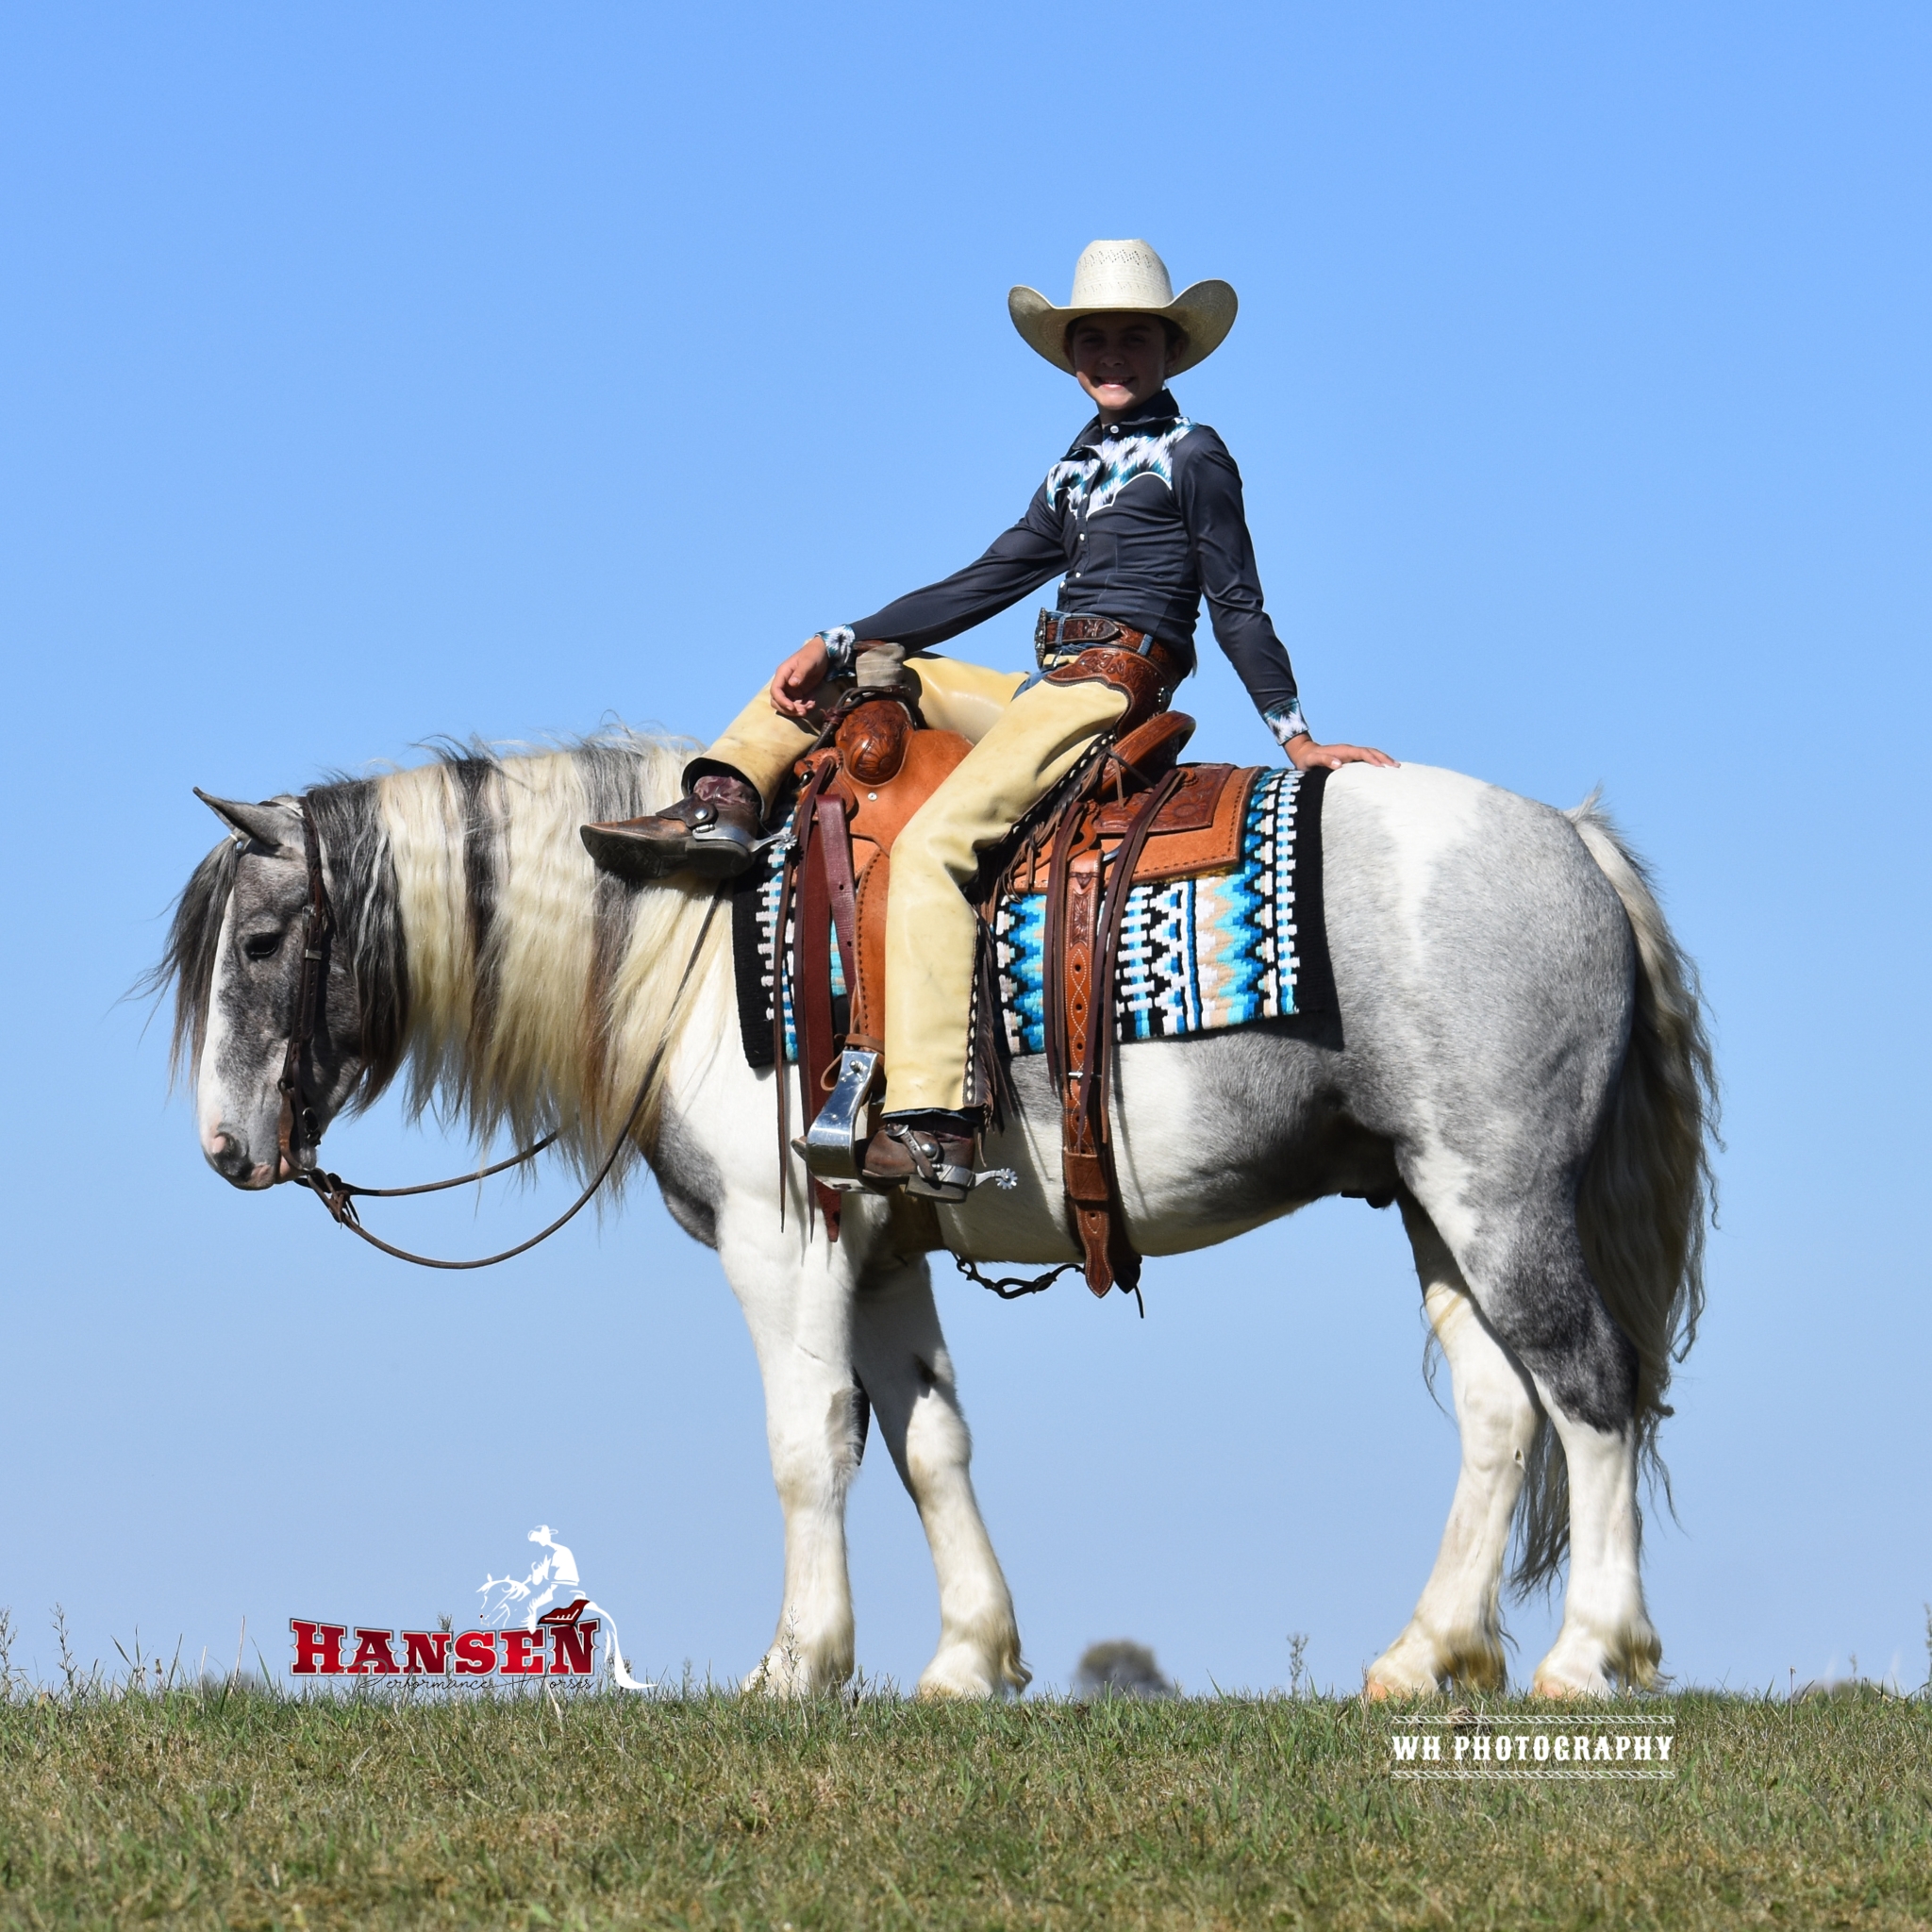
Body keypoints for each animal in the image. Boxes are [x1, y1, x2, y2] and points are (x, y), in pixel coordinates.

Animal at [153, 728, 1714, 1699]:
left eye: (265, 942)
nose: (224, 1148)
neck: (692, 943)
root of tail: (1571, 841)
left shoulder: (780, 1245)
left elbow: (808, 1446)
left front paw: (798, 1664)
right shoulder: (885, 1243)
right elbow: (929, 1444)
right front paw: (967, 1657)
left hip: (1500, 1194)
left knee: (1592, 1392)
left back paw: (1589, 1656)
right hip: (1431, 1205)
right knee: (1502, 1414)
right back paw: (1422, 1653)